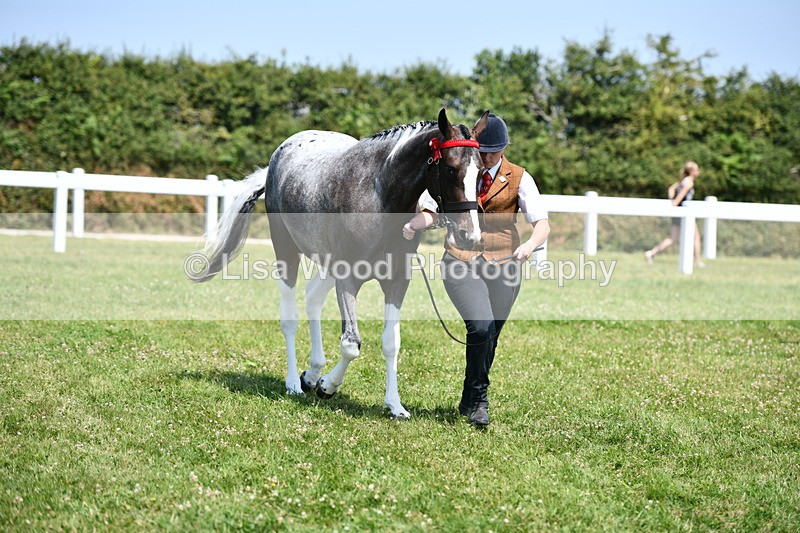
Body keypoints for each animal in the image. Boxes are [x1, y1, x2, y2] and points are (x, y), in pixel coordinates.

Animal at [195, 108, 489, 419]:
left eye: (482, 172)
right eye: (451, 169)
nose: (470, 236)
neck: (377, 196)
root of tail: (279, 155)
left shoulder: (397, 280)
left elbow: (391, 342)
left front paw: (395, 405)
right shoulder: (348, 279)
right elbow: (351, 344)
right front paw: (327, 386)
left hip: (327, 264)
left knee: (313, 300)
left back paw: (311, 373)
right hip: (286, 250)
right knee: (290, 316)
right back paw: (294, 383)